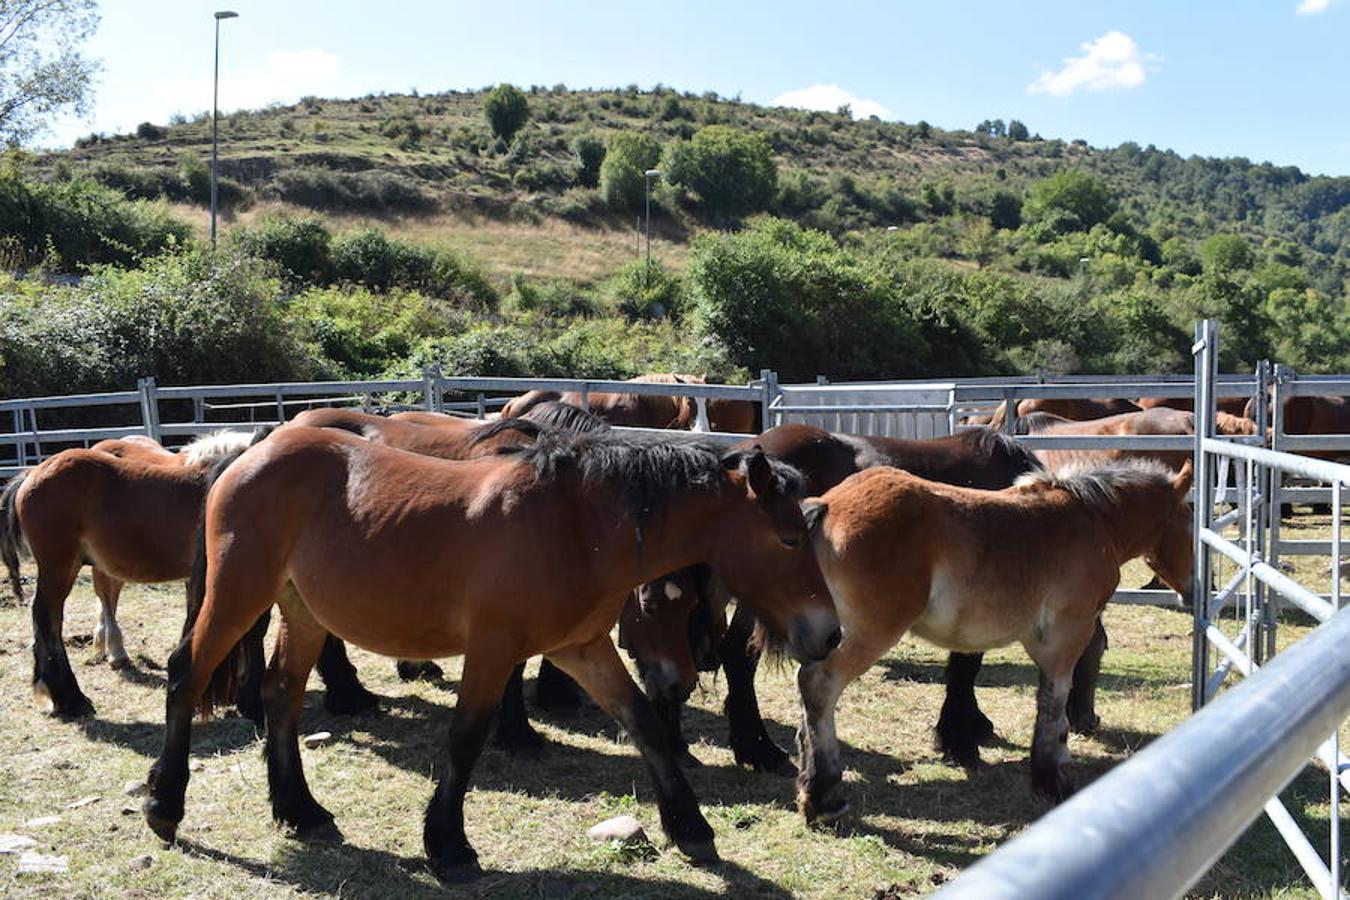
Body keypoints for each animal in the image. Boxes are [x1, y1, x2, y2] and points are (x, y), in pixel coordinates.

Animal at [788, 458, 1193, 825]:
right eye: (1190, 519)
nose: (1193, 590)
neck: (1093, 520)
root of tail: (827, 506)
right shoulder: (1067, 633)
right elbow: (1053, 698)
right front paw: (1050, 779)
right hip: (869, 632)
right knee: (819, 686)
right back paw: (824, 798)